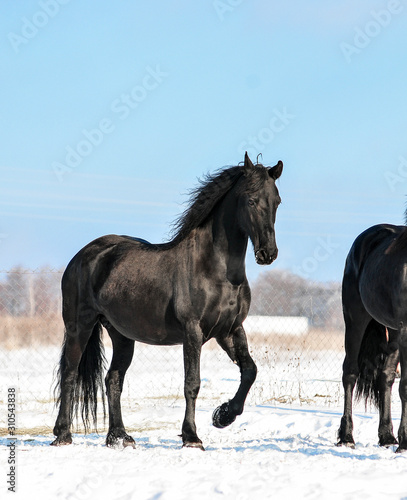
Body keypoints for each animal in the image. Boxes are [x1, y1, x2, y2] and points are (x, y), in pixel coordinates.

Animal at [51, 152, 284, 450]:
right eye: (251, 200)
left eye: (276, 201)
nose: (268, 253)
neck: (215, 270)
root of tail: (83, 255)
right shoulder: (193, 332)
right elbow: (192, 383)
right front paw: (192, 437)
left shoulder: (230, 330)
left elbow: (250, 370)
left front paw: (223, 416)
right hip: (79, 326)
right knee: (69, 373)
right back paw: (63, 435)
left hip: (122, 335)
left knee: (113, 379)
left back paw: (119, 436)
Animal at [338, 221, 407, 452]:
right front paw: (405, 443)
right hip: (355, 320)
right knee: (349, 373)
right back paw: (346, 437)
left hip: (393, 333)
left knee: (386, 376)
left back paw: (387, 437)